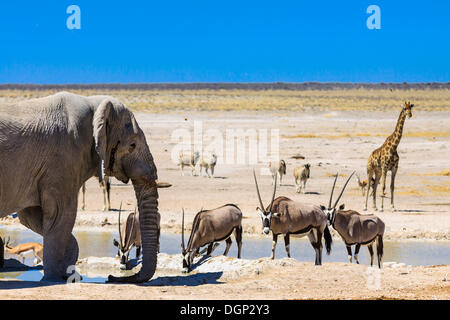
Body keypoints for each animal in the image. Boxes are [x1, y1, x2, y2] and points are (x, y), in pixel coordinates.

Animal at [0, 90, 169, 282]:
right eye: (132, 145)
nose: (111, 277)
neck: (93, 104)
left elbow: (31, 217)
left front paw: (66, 273)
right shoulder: (63, 159)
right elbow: (61, 216)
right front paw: (53, 279)